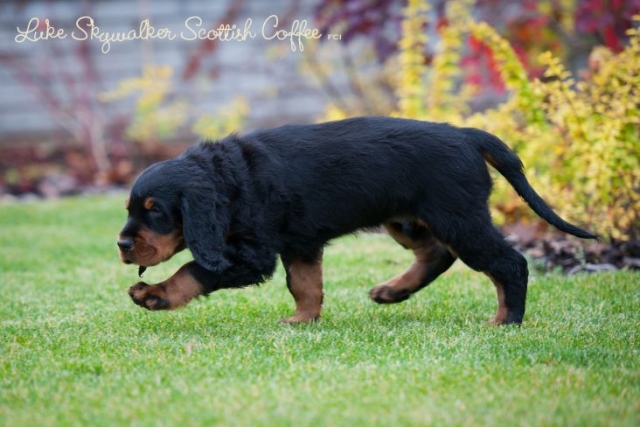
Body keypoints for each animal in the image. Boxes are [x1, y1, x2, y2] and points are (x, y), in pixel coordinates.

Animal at [117, 116, 596, 324]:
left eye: (155, 210)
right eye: (129, 209)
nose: (122, 246)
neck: (229, 179)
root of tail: (465, 134)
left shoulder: (253, 253)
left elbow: (194, 269)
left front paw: (155, 295)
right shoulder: (300, 242)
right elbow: (305, 284)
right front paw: (303, 321)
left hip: (457, 216)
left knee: (508, 263)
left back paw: (506, 321)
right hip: (409, 218)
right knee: (436, 254)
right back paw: (393, 291)